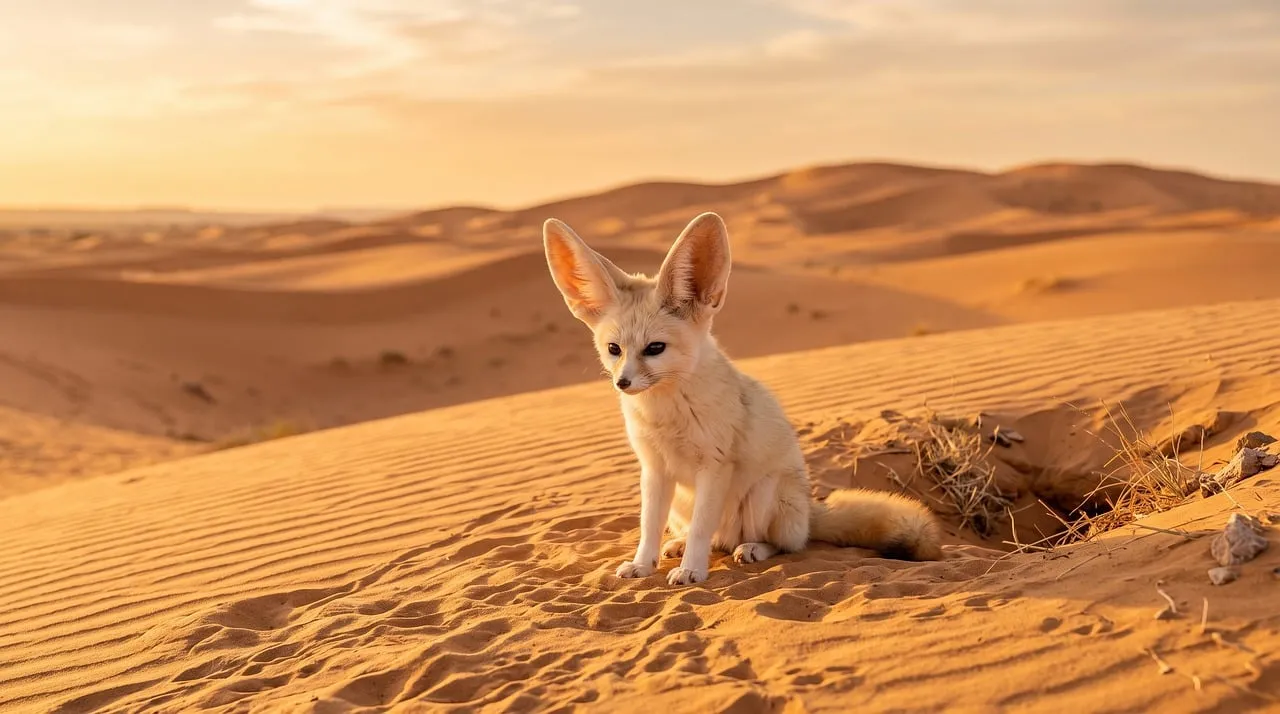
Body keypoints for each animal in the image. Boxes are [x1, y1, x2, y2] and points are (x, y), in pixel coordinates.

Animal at [542, 211, 943, 585]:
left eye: (655, 348)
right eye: (614, 349)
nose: (622, 383)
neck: (666, 414)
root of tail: (810, 510)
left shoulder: (714, 466)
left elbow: (703, 528)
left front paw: (692, 572)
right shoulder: (655, 469)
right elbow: (649, 526)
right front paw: (643, 564)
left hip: (762, 494)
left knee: (781, 544)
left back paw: (750, 549)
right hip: (682, 503)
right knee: (714, 538)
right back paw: (680, 545)